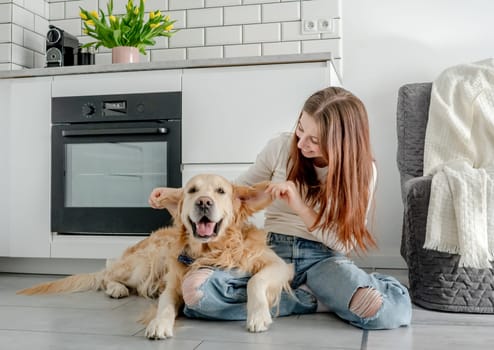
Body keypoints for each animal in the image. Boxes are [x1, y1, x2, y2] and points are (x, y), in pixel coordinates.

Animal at [16, 175, 294, 340]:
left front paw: (258, 315)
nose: (204, 202)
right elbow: (165, 305)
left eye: (220, 191)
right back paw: (116, 288)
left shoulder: (278, 264)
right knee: (107, 275)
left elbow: (254, 281)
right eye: (192, 190)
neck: (211, 251)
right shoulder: (172, 285)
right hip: (143, 265)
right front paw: (160, 323)